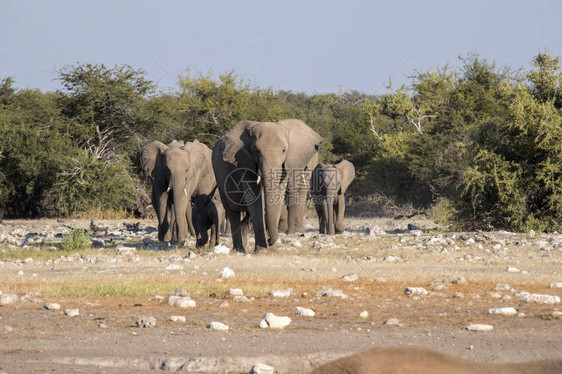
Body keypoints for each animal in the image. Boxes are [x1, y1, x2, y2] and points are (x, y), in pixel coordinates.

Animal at [212, 119, 322, 254]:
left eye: (284, 150)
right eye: (256, 150)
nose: (269, 240)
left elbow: (276, 196)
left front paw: (271, 250)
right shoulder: (244, 161)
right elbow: (254, 197)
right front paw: (262, 250)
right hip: (219, 177)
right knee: (232, 211)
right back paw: (239, 250)